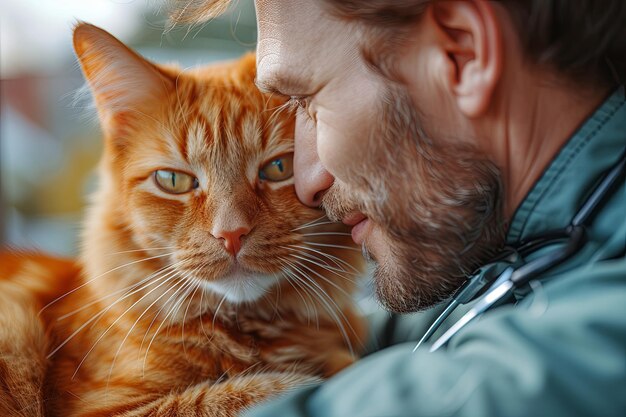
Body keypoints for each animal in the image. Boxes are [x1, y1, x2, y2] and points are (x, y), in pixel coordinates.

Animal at [0, 23, 366, 416]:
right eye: (173, 180)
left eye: (279, 168)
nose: (231, 234)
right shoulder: (105, 408)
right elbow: (232, 393)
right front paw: (312, 371)